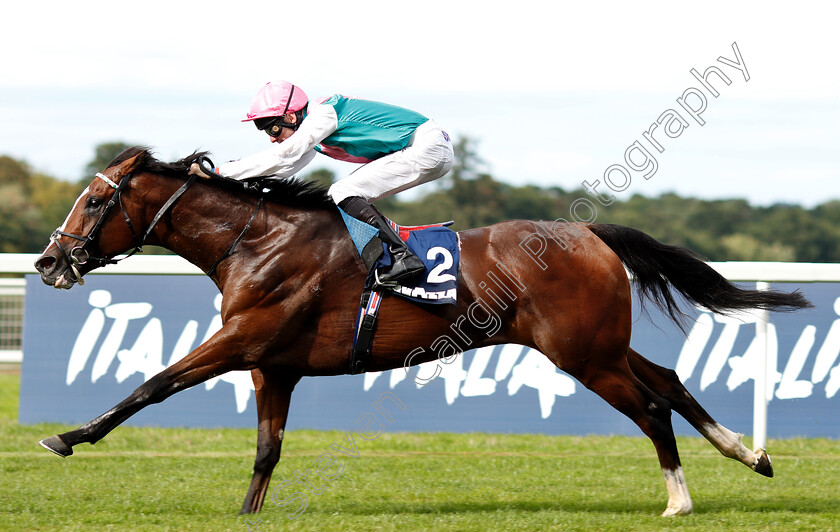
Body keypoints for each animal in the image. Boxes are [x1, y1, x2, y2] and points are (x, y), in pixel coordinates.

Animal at [34, 145, 812, 516]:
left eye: (95, 200)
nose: (47, 260)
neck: (256, 240)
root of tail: (590, 233)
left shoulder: (243, 342)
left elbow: (154, 385)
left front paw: (68, 437)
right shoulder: (272, 365)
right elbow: (266, 450)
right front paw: (248, 513)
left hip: (582, 354)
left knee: (650, 406)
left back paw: (680, 499)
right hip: (599, 344)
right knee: (670, 380)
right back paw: (749, 454)